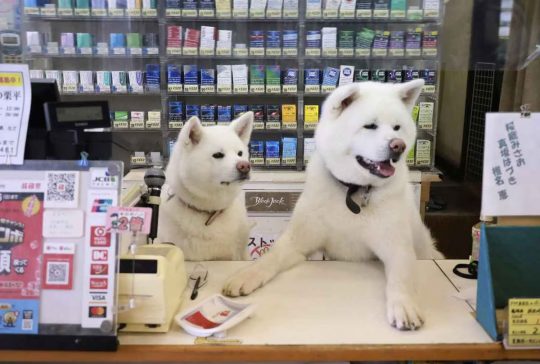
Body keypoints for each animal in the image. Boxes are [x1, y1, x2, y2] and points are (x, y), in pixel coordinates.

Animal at [223, 81, 442, 332]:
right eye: (370, 126)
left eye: (397, 127)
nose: (399, 145)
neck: (353, 191)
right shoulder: (298, 242)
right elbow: (270, 258)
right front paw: (245, 275)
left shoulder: (397, 247)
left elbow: (402, 277)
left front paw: (404, 305)